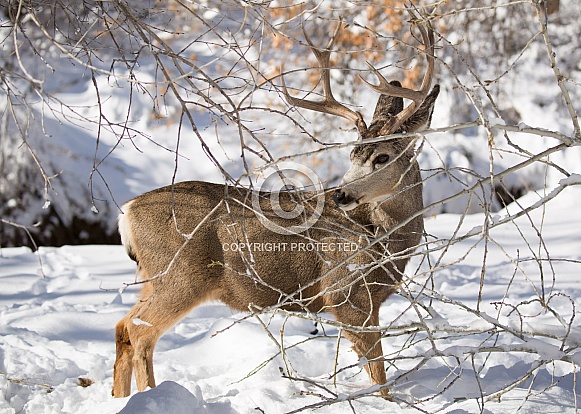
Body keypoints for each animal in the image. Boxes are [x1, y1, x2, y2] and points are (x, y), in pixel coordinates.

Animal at [112, 10, 439, 399]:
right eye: (352, 154)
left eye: (382, 157)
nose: (341, 195)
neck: (384, 240)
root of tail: (127, 211)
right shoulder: (346, 293)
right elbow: (379, 377)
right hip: (179, 275)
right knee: (140, 333)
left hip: (153, 277)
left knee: (121, 328)